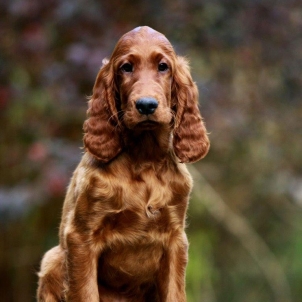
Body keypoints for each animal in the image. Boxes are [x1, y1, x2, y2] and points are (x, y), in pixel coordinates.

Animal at [36, 26, 209, 302]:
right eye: (126, 67)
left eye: (163, 66)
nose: (146, 105)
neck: (144, 158)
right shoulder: (81, 238)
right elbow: (86, 293)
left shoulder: (175, 241)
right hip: (52, 259)